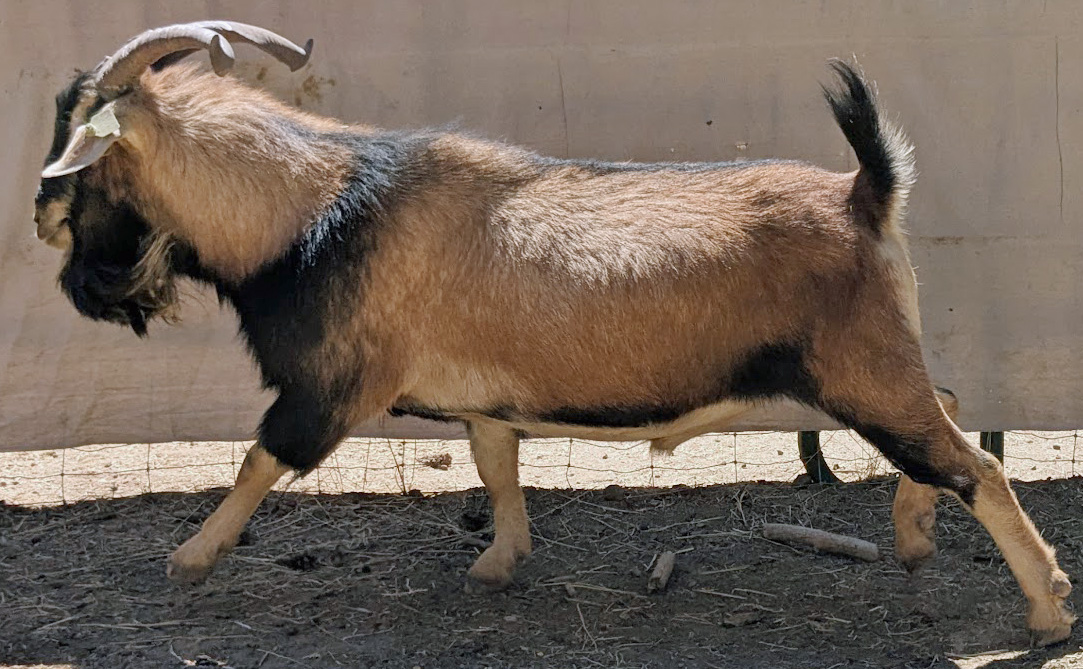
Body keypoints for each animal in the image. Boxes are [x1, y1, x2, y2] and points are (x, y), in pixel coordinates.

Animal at [32, 21, 1073, 645]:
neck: (311, 208)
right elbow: (497, 465)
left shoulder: (327, 387)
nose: (44, 223)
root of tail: (865, 194)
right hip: (874, 364)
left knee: (974, 463)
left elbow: (258, 459)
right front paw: (498, 562)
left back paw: (1046, 609)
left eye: (79, 157)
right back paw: (912, 539)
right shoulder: (483, 398)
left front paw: (189, 559)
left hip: (860, 373)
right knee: (948, 413)